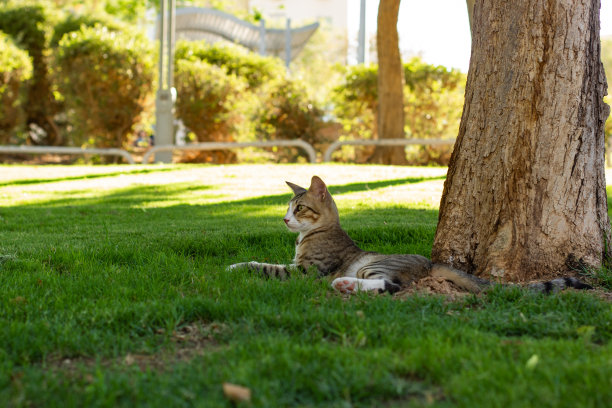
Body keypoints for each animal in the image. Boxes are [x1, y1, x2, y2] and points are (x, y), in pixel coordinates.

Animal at [227, 175, 592, 294]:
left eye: (300, 208)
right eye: (289, 207)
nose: (284, 218)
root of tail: (430, 263)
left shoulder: (307, 270)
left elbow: (263, 266)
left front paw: (233, 267)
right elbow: (268, 261)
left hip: (374, 266)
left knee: (392, 286)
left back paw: (344, 284)